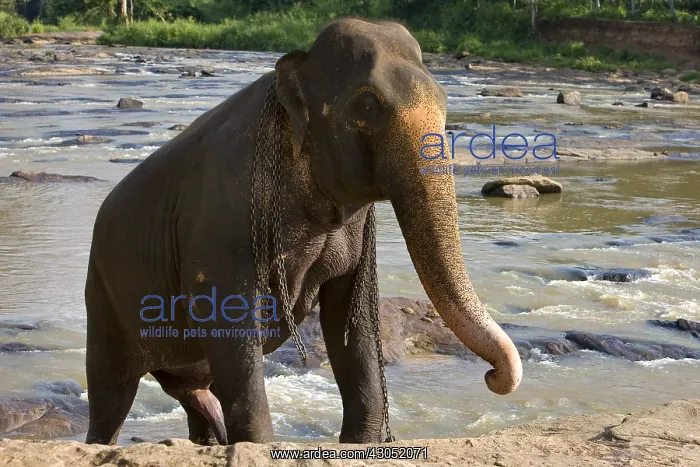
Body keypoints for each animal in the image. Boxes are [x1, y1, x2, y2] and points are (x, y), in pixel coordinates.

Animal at [84, 18, 522, 446]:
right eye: (368, 105)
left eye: (446, 102)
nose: (492, 376)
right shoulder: (224, 214)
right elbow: (228, 319)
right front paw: (259, 446)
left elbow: (352, 315)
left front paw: (359, 444)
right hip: (103, 297)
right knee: (111, 393)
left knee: (194, 395)